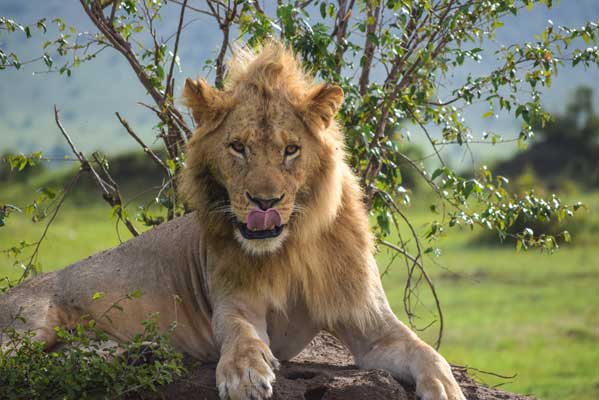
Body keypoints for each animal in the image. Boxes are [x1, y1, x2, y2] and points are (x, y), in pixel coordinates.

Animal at [0, 41, 466, 400]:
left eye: (291, 150)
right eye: (238, 147)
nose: (265, 202)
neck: (289, 247)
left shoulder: (369, 321)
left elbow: (426, 352)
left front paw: (446, 388)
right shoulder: (235, 302)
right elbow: (241, 334)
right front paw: (244, 375)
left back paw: (138, 352)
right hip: (27, 327)